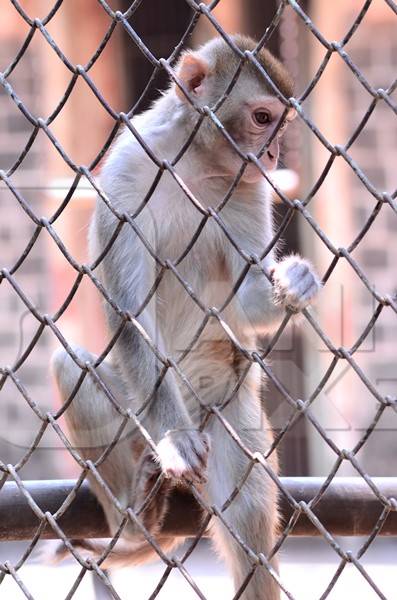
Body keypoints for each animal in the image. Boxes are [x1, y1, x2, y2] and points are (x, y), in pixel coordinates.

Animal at [52, 35, 320, 596]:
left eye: (281, 125)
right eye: (262, 118)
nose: (272, 153)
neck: (190, 160)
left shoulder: (249, 189)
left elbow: (247, 302)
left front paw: (294, 285)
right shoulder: (127, 173)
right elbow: (129, 316)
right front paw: (175, 443)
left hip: (227, 410)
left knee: (247, 513)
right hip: (138, 427)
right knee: (74, 365)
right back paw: (136, 518)